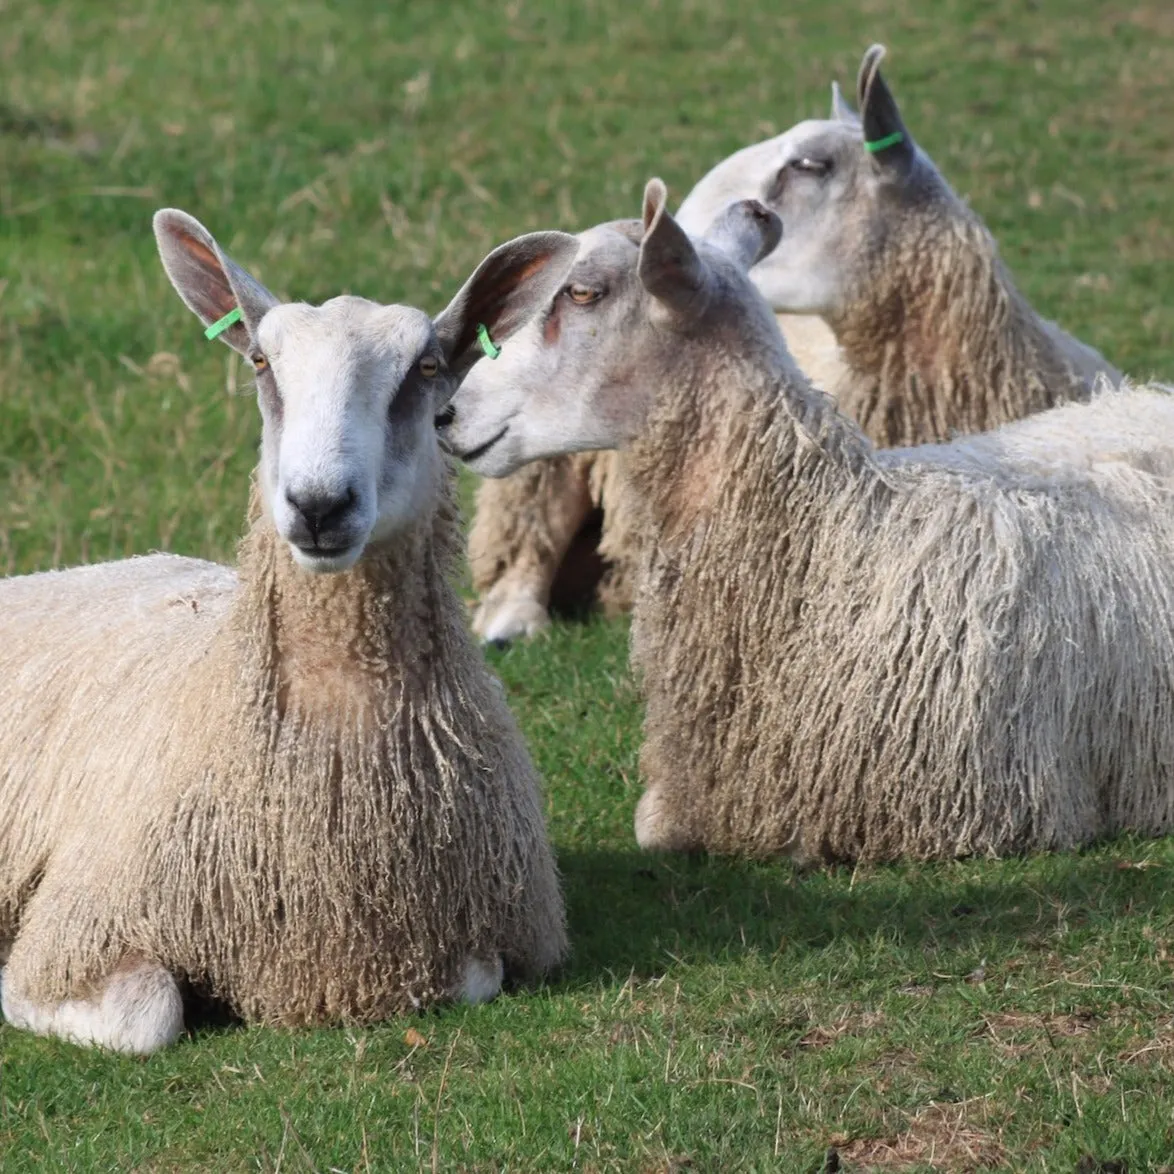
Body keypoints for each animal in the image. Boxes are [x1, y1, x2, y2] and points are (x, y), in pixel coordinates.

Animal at [0, 204, 577, 1056]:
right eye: (261, 364)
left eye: (426, 370)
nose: (319, 505)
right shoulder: (75, 935)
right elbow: (147, 1016)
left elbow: (476, 976)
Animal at [439, 178, 1174, 868]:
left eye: (584, 293)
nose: (448, 413)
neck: (828, 541)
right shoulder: (674, 806)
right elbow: (657, 833)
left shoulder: (974, 808)